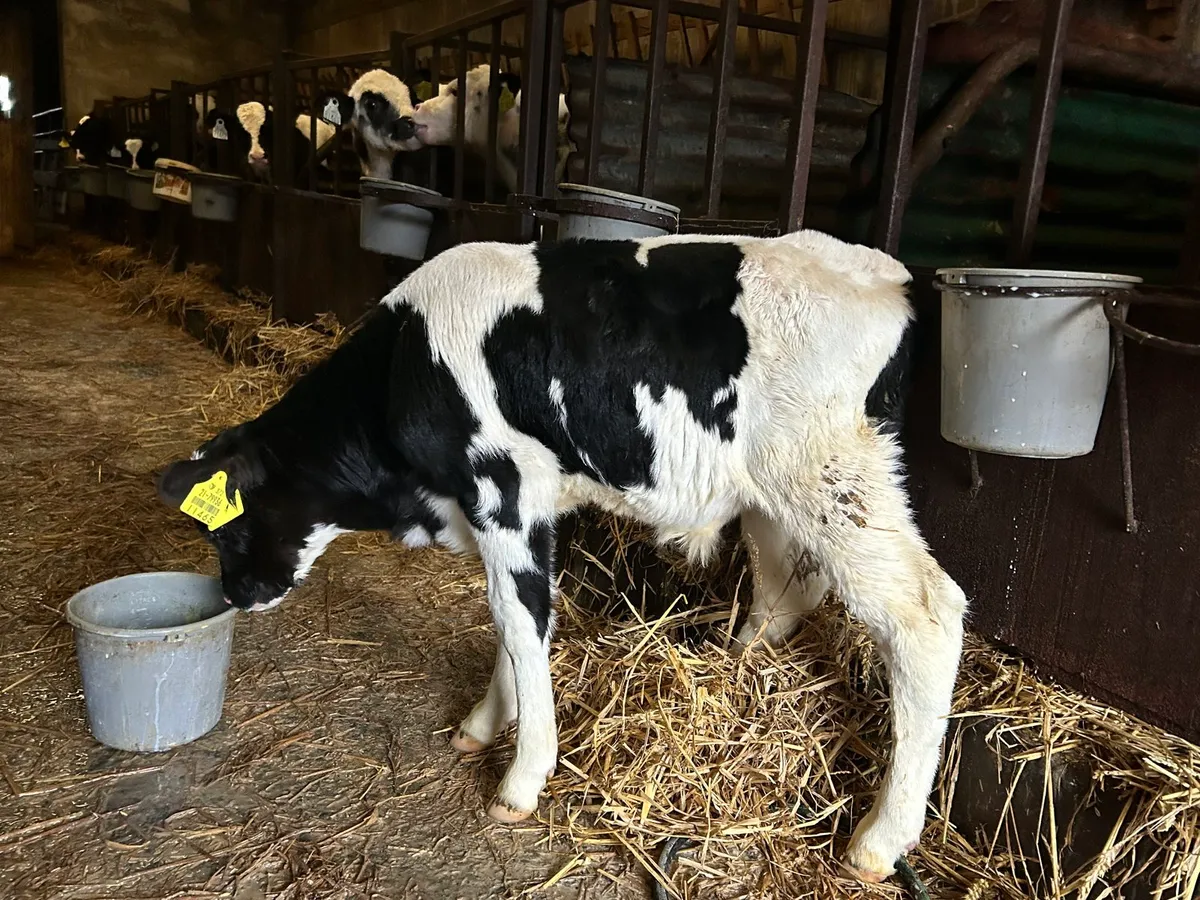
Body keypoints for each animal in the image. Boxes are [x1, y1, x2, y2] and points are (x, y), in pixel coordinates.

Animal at [155, 230, 966, 884]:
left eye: (224, 526)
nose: (235, 593)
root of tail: (890, 275)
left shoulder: (502, 490)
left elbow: (516, 618)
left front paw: (520, 778)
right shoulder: (524, 509)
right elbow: (520, 624)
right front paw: (485, 723)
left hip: (834, 478)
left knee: (926, 613)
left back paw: (879, 841)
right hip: (777, 498)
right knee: (783, 590)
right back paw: (737, 675)